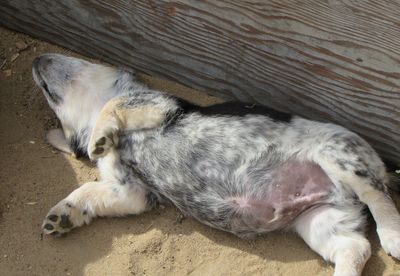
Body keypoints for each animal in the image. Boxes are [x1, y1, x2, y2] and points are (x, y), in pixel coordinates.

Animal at [33, 54, 400, 276]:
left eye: (79, 61)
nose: (38, 58)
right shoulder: (128, 191)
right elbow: (86, 190)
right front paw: (61, 216)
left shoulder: (157, 105)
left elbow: (115, 103)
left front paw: (97, 138)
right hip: (320, 220)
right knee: (356, 247)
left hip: (338, 158)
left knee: (378, 197)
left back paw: (393, 236)